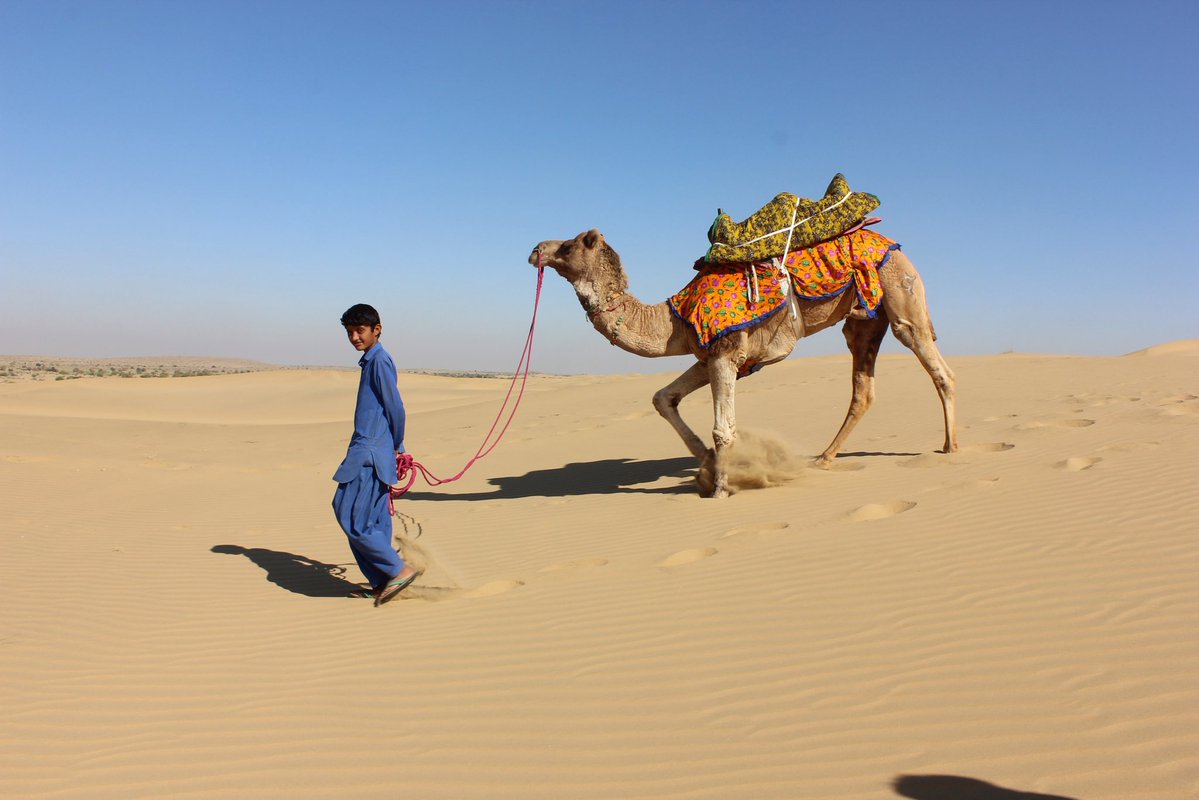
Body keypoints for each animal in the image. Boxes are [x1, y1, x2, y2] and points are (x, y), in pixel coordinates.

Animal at [529, 229, 957, 498]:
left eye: (570, 246)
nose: (536, 249)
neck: (672, 319)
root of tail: (892, 243)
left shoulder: (725, 353)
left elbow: (723, 429)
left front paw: (720, 488)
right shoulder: (708, 357)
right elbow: (663, 398)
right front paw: (706, 464)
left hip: (901, 292)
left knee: (938, 367)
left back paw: (951, 447)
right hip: (863, 320)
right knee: (863, 388)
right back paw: (823, 458)